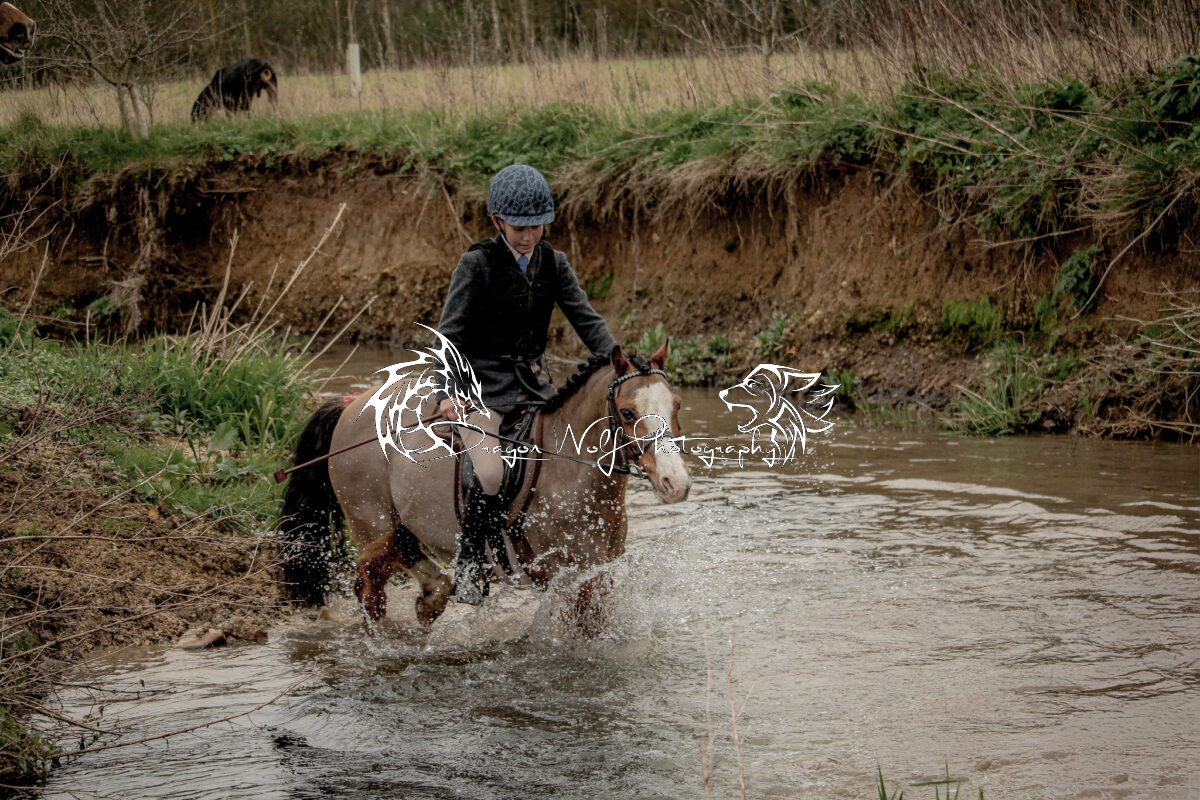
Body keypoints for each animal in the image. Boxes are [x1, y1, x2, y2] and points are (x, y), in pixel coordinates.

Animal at [279, 341, 691, 633]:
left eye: (676, 405)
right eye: (627, 412)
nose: (675, 483)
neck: (571, 470)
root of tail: (350, 407)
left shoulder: (598, 570)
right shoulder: (572, 576)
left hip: (397, 523)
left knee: (408, 556)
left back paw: (429, 602)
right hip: (371, 524)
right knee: (370, 589)